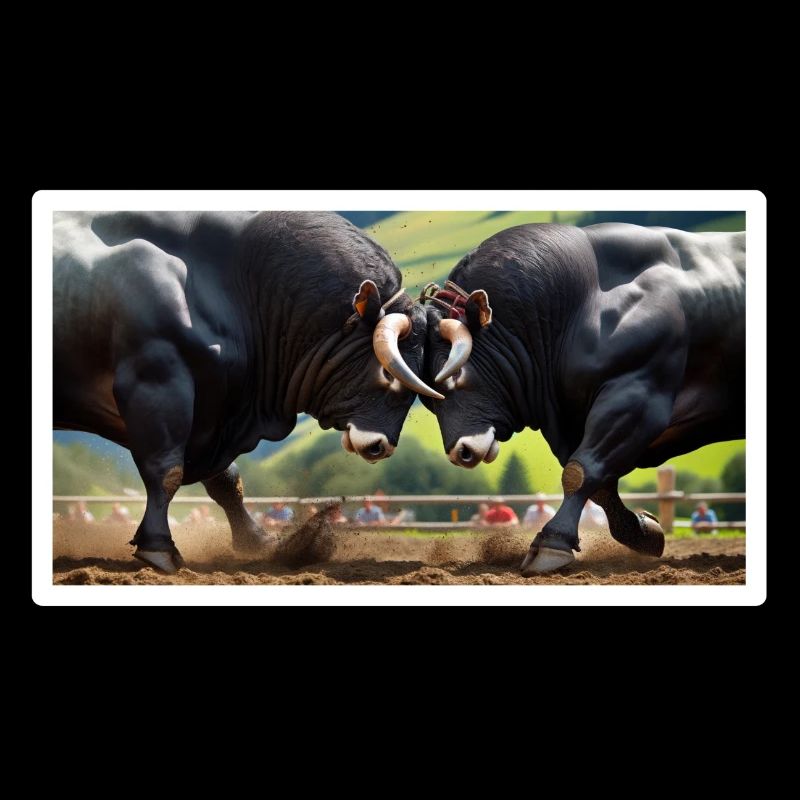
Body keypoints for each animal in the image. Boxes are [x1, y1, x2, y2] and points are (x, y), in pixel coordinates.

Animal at [54, 210, 443, 573]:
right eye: (388, 371)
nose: (381, 446)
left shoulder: (215, 407)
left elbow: (227, 482)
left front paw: (257, 541)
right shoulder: (156, 382)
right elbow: (165, 470)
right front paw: (158, 548)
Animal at [420, 223, 745, 574]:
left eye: (455, 374)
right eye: (428, 399)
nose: (461, 452)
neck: (583, 303)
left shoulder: (637, 397)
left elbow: (580, 472)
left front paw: (552, 542)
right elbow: (599, 485)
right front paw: (644, 532)